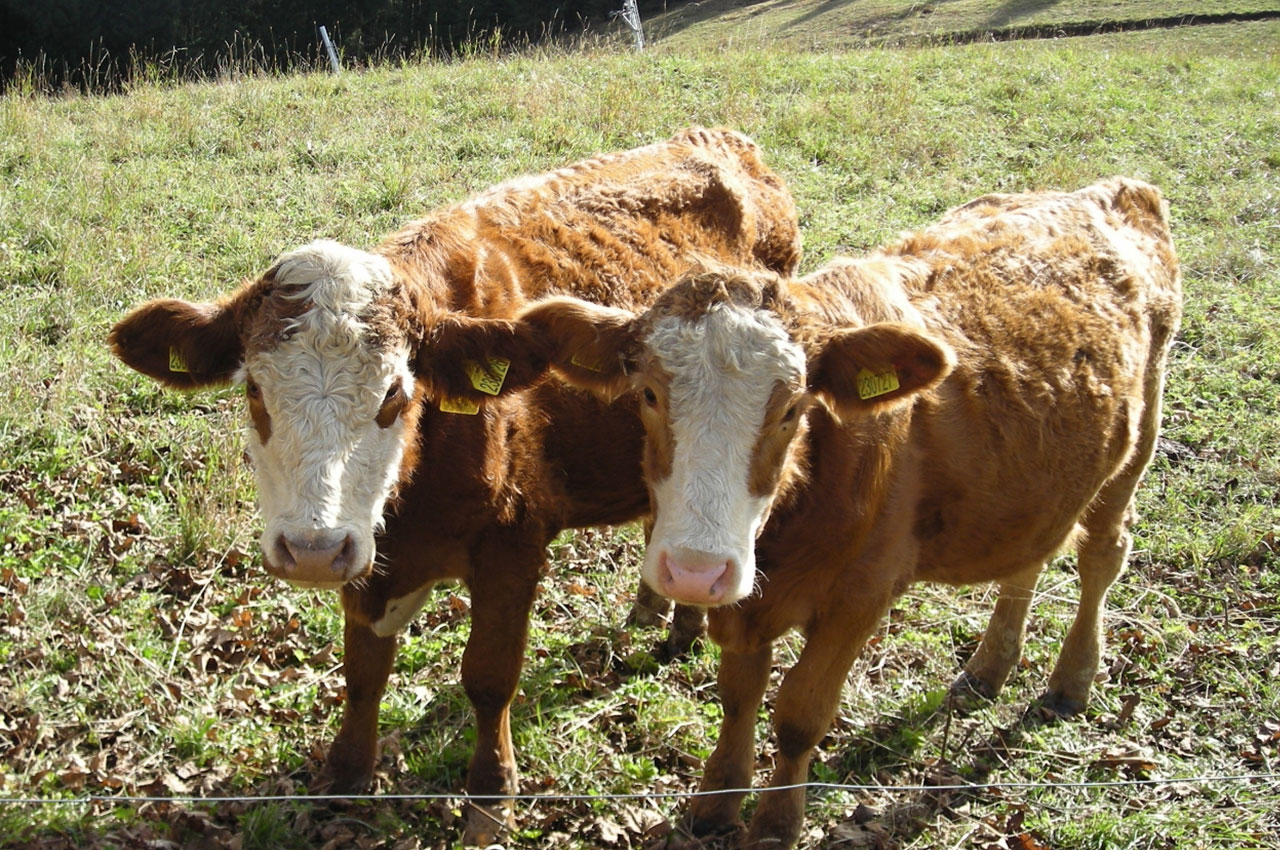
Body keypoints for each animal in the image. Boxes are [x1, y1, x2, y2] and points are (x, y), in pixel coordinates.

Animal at [110, 126, 798, 844]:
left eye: (394, 393)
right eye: (253, 391)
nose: (312, 551)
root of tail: (722, 138)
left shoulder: (513, 545)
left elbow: (489, 678)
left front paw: (491, 797)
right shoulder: (370, 557)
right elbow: (364, 669)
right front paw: (346, 774)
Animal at [504, 177, 1182, 844]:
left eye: (793, 407)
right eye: (647, 392)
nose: (696, 572)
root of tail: (1117, 189)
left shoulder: (860, 596)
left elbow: (801, 714)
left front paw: (777, 823)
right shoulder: (746, 601)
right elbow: (739, 696)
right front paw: (716, 803)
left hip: (1136, 444)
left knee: (1102, 555)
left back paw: (1071, 681)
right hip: (1041, 482)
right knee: (1031, 559)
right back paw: (989, 668)